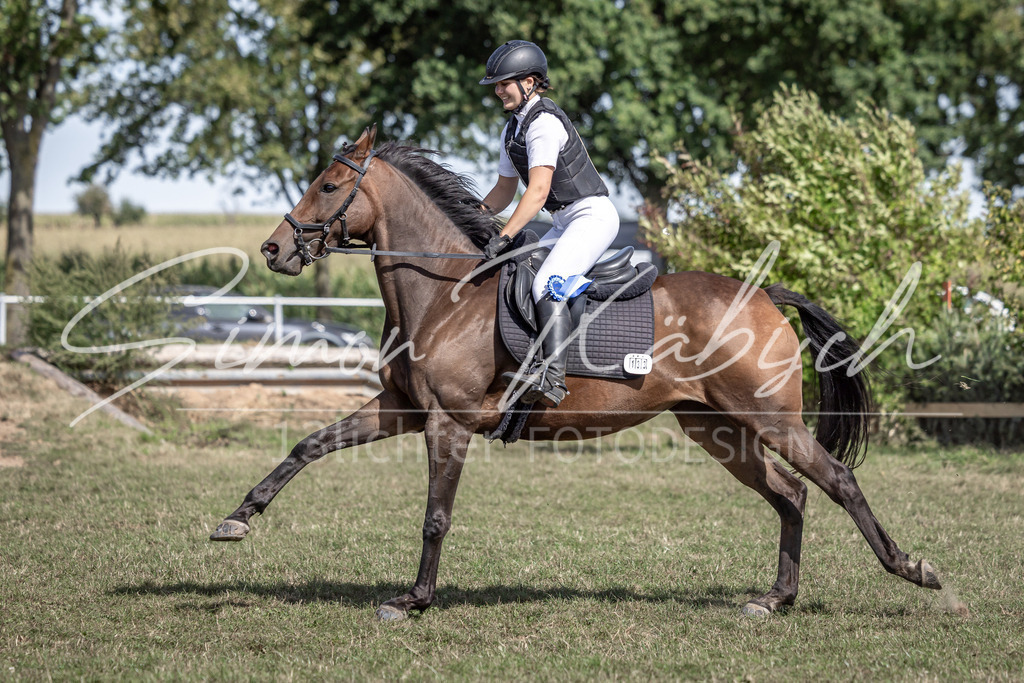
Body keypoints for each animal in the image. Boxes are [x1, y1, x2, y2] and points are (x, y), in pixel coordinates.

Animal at [210, 125, 942, 621]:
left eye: (330, 186)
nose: (273, 248)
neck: (445, 293)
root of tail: (764, 294)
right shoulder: (401, 409)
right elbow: (308, 446)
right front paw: (236, 520)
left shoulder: (447, 422)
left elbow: (435, 515)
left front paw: (414, 599)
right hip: (717, 429)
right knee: (790, 494)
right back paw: (774, 598)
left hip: (769, 419)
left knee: (837, 480)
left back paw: (913, 569)